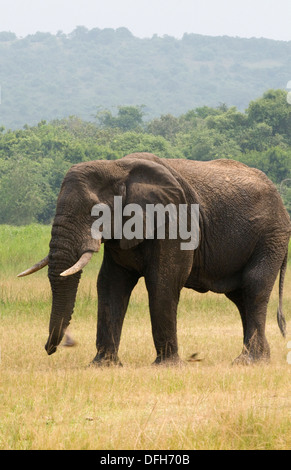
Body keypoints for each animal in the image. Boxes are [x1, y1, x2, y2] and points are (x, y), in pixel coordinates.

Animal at [18, 152, 291, 366]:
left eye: (96, 212)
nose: (55, 346)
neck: (117, 167)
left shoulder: (174, 220)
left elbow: (163, 281)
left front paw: (167, 366)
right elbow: (110, 284)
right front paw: (102, 365)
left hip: (271, 236)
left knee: (254, 287)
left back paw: (249, 361)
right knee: (240, 297)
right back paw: (254, 359)